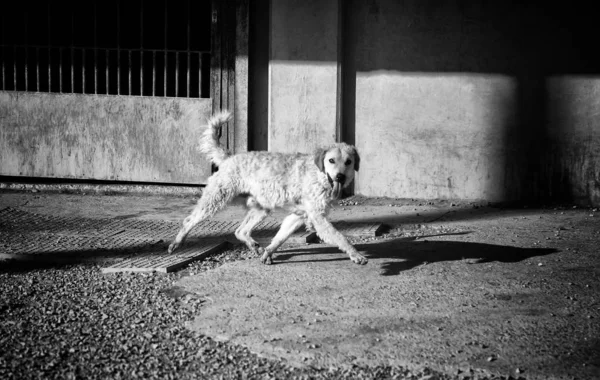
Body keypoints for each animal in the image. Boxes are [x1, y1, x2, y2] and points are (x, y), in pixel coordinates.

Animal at [166, 109, 368, 264]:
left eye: (348, 162)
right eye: (331, 160)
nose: (340, 176)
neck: (317, 175)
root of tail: (229, 157)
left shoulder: (298, 216)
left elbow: (279, 238)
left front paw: (268, 252)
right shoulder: (318, 218)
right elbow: (340, 237)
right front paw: (356, 254)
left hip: (261, 208)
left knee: (240, 230)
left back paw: (254, 246)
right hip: (216, 199)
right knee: (189, 220)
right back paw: (177, 242)